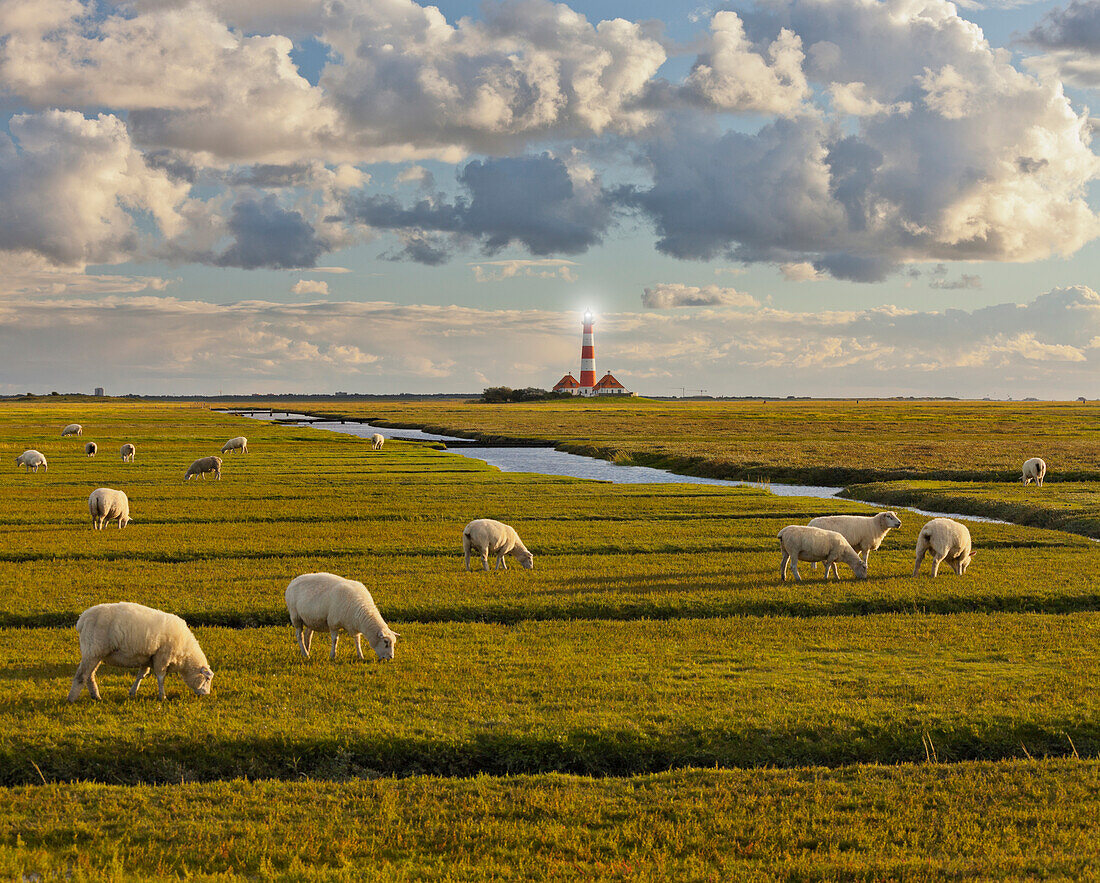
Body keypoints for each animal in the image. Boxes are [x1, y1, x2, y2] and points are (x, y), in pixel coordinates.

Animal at [67, 602, 213, 703]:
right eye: (207, 678)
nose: (207, 695)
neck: (186, 655)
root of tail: (82, 619)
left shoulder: (148, 657)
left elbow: (141, 675)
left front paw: (133, 692)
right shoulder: (162, 656)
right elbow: (161, 677)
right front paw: (162, 696)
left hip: (95, 652)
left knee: (90, 675)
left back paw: (96, 696)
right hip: (93, 650)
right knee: (82, 675)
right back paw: (71, 699)